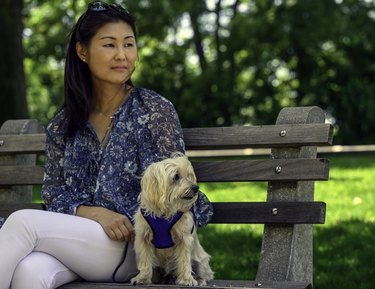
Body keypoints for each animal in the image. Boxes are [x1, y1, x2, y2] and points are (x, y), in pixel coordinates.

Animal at [131, 154, 214, 284]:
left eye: (189, 176)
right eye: (176, 177)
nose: (196, 187)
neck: (165, 212)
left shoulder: (184, 239)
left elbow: (184, 261)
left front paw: (186, 279)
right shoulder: (143, 238)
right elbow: (145, 260)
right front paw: (143, 278)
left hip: (201, 260)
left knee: (202, 271)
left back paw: (199, 279)